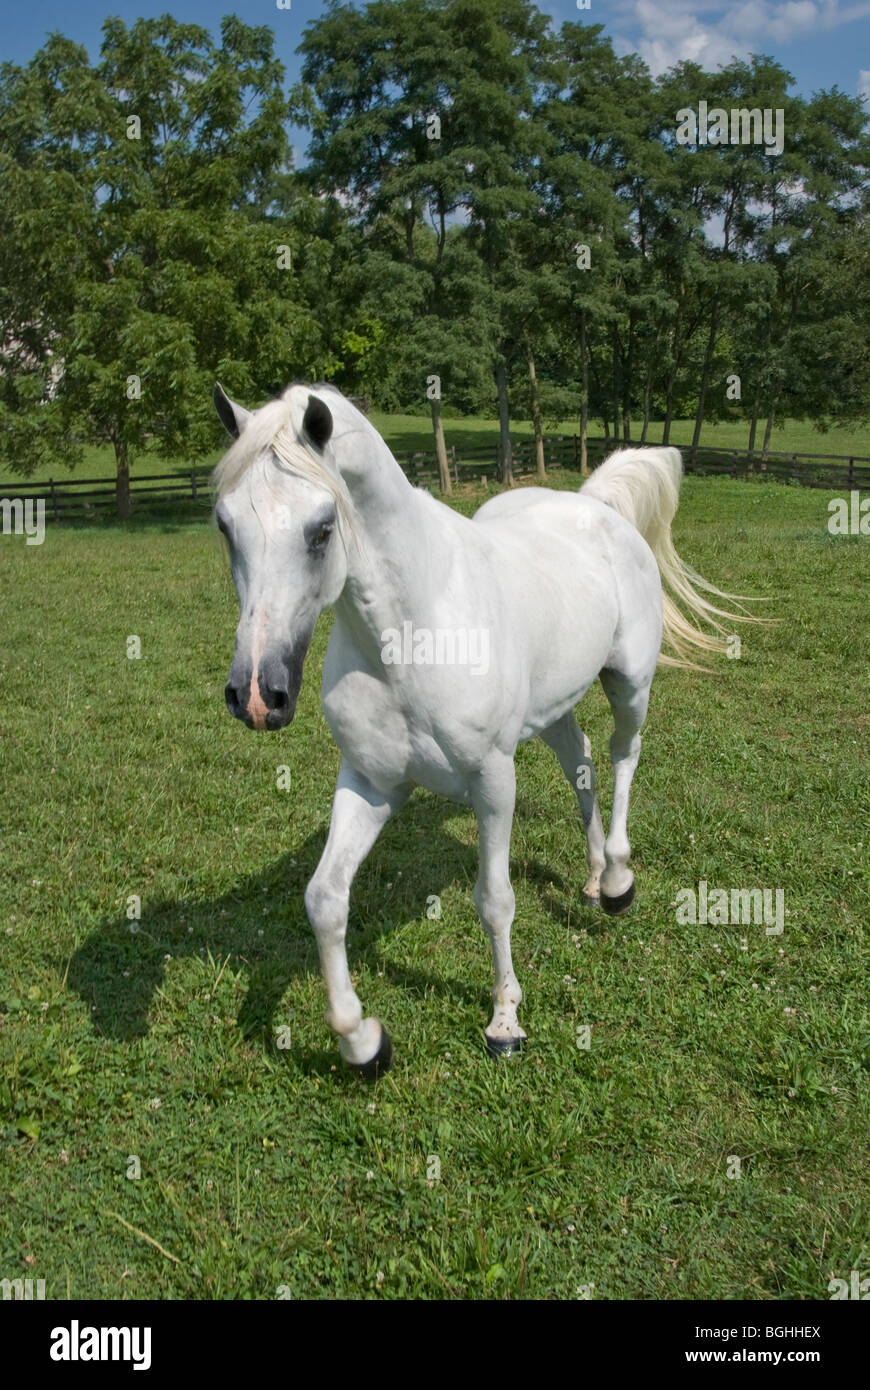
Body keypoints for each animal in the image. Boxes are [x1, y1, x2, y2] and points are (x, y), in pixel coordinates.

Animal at [211, 381, 752, 1077]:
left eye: (322, 528)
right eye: (225, 524)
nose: (258, 696)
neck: (412, 632)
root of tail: (595, 506)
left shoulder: (493, 781)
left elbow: (494, 900)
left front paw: (505, 1023)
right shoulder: (370, 782)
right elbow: (325, 899)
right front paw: (362, 1043)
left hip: (630, 684)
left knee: (622, 755)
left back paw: (617, 881)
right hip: (552, 710)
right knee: (581, 762)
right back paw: (592, 875)